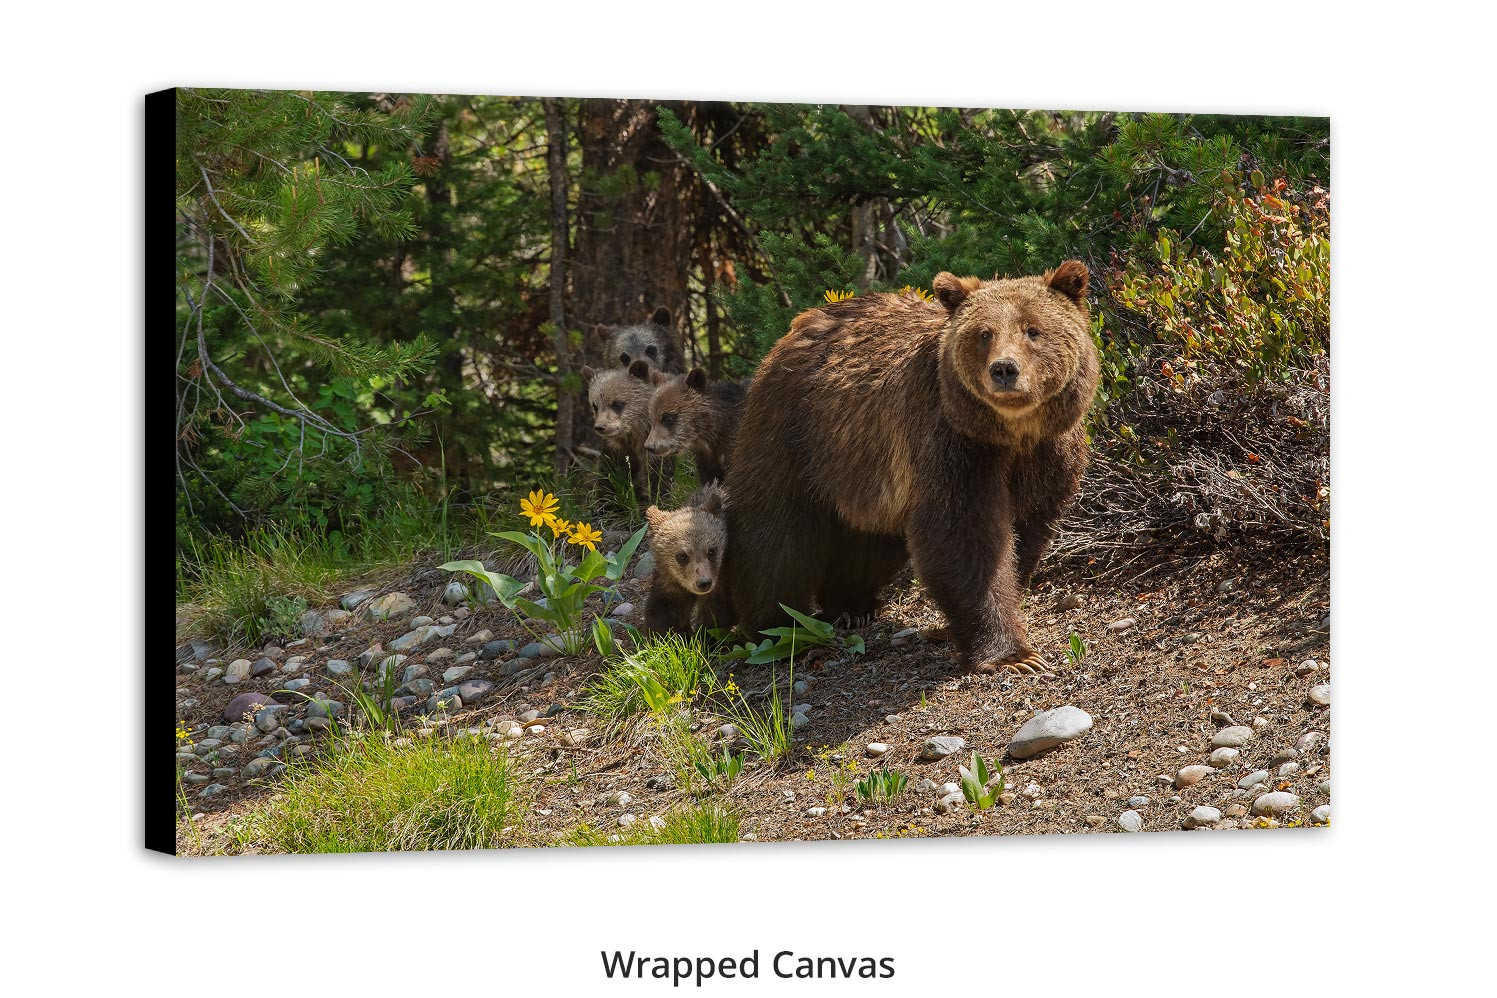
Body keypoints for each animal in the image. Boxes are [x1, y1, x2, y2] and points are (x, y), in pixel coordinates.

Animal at [642, 483, 728, 636]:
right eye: (682, 556)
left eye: (711, 551)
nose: (704, 583)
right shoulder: (670, 584)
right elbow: (662, 612)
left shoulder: (721, 581)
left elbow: (716, 616)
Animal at [720, 261, 1099, 676]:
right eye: (984, 333)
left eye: (1033, 329)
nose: (1004, 369)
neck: (1011, 433)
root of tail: (798, 325)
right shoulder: (952, 443)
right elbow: (965, 535)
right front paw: (1012, 655)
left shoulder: (1047, 453)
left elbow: (1027, 526)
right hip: (794, 432)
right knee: (774, 532)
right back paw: (777, 628)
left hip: (864, 467)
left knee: (868, 540)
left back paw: (851, 605)